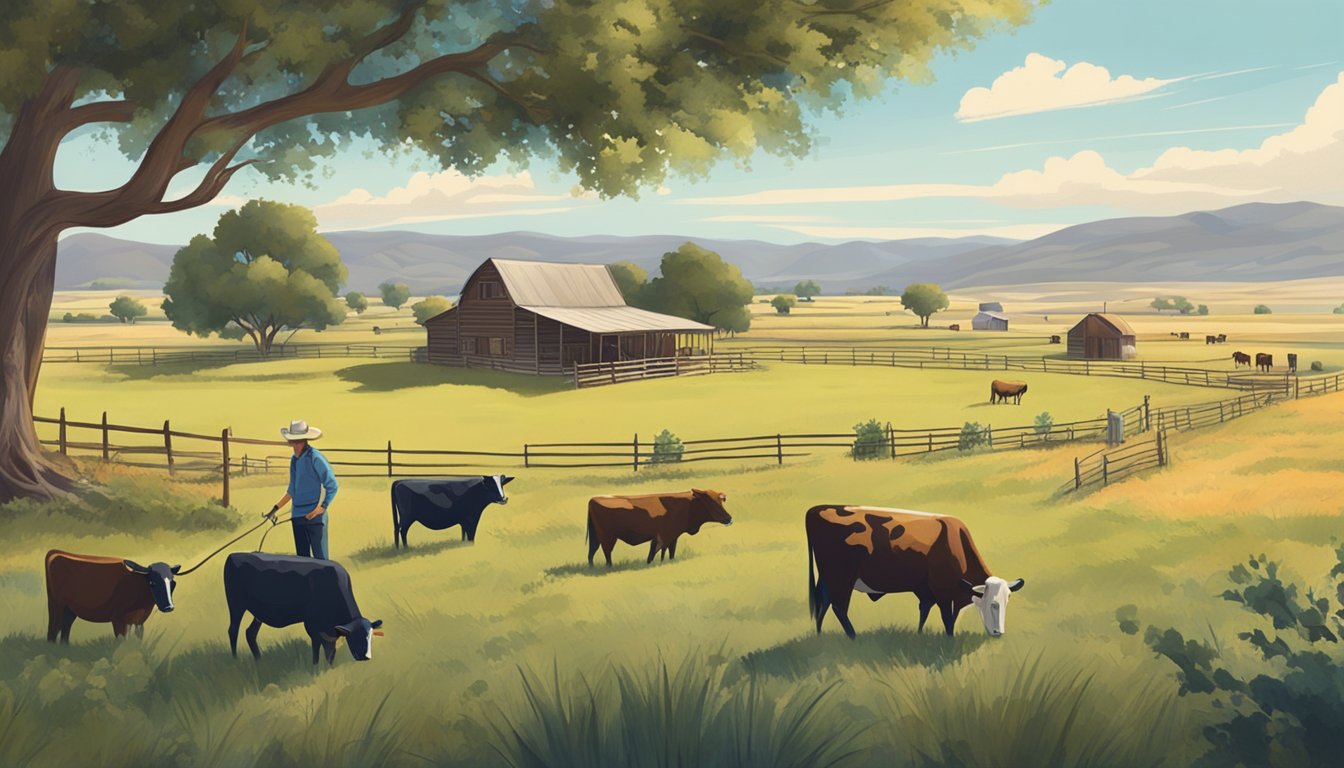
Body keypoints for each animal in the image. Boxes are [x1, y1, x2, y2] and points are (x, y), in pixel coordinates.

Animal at [44, 554, 178, 642]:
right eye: (152, 583)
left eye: (173, 583)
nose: (169, 607)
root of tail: (56, 553)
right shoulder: (118, 619)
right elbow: (122, 641)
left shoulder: (138, 622)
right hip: (56, 606)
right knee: (53, 630)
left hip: (69, 610)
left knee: (65, 629)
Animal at [224, 554, 384, 667]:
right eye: (353, 636)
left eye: (370, 636)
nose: (365, 656)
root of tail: (234, 555)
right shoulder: (312, 624)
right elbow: (317, 648)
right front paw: (315, 667)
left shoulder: (329, 630)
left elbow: (330, 651)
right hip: (235, 603)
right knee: (233, 630)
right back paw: (235, 660)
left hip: (258, 612)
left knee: (250, 633)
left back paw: (258, 660)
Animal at [585, 489, 731, 567]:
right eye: (712, 503)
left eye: (720, 502)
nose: (729, 518)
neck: (686, 506)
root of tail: (593, 499)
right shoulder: (663, 538)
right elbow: (658, 554)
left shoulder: (672, 537)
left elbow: (669, 553)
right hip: (607, 537)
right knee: (606, 552)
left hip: (596, 536)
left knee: (591, 552)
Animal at [801, 508, 1021, 640]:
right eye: (993, 604)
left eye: (1007, 600)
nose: (998, 632)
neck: (955, 544)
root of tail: (816, 510)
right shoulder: (942, 590)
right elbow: (947, 618)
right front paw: (949, 640)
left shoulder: (927, 589)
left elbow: (925, 611)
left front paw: (919, 634)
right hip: (841, 579)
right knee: (838, 608)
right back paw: (854, 638)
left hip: (828, 579)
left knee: (823, 603)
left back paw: (819, 636)